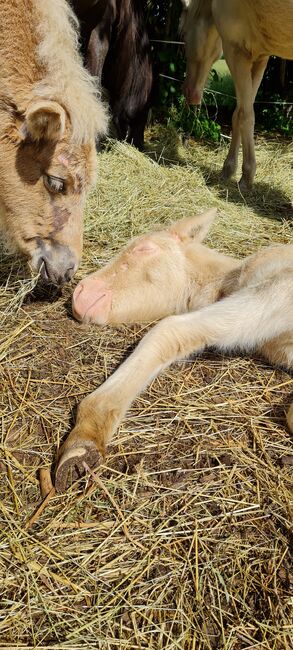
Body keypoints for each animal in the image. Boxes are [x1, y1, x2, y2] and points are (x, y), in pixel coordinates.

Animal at [54, 210, 292, 488]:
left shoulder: (279, 288)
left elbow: (169, 330)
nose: (80, 294)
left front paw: (86, 436)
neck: (228, 280)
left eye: (144, 248)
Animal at [179, 1, 290, 190]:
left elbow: (245, 115)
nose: (188, 92)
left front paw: (246, 177)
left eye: (183, 35)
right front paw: (229, 169)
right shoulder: (259, 58)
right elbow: (238, 114)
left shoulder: (235, 51)